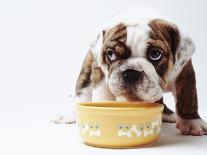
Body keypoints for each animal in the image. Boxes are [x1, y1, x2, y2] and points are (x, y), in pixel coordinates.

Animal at [53, 7, 207, 136]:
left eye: (155, 54)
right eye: (110, 54)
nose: (131, 72)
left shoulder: (184, 71)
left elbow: (187, 97)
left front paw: (191, 123)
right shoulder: (101, 74)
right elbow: (103, 94)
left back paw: (169, 115)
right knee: (82, 91)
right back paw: (70, 114)